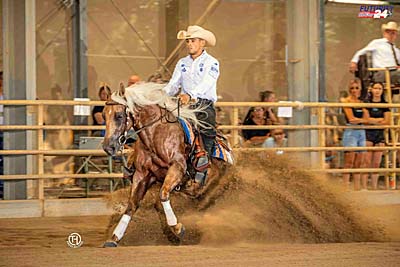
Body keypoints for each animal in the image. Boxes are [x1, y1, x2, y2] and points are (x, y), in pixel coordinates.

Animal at [103, 82, 233, 248]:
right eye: (104, 115)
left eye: (119, 116)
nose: (108, 147)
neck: (156, 135)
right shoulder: (142, 175)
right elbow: (132, 205)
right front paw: (114, 237)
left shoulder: (177, 167)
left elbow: (163, 194)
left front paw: (177, 228)